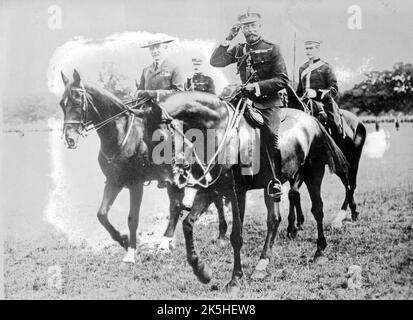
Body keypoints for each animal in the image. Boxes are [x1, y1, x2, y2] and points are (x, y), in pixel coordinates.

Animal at [58, 70, 187, 262]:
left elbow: (132, 218)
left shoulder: (135, 184)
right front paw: (123, 240)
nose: (69, 139)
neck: (120, 133)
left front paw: (131, 252)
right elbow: (102, 214)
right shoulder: (114, 181)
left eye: (77, 102)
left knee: (177, 205)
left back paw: (165, 242)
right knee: (177, 204)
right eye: (61, 103)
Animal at [145, 91, 348, 294]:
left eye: (160, 137)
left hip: (314, 174)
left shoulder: (237, 193)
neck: (220, 132)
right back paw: (261, 265)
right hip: (270, 186)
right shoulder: (210, 190)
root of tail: (313, 120)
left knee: (317, 209)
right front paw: (202, 271)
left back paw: (319, 252)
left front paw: (235, 279)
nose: (168, 179)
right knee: (274, 220)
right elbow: (188, 223)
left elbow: (236, 236)